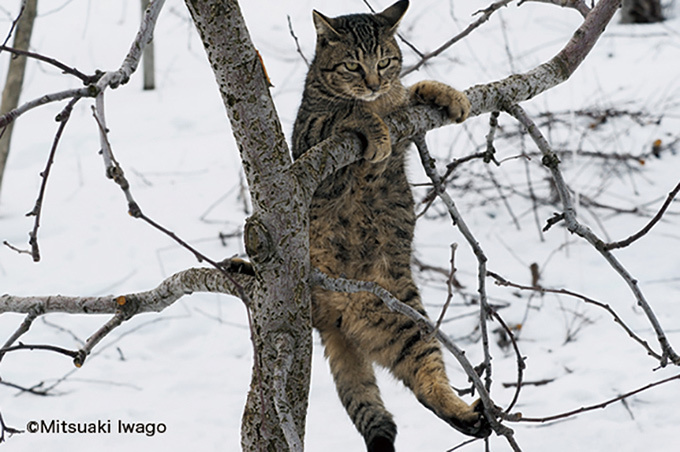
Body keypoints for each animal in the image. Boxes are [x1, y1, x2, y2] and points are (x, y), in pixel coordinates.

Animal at [290, 1, 488, 450]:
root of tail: (334, 319)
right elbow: (347, 111)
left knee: (427, 381)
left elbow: (411, 89)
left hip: (408, 324)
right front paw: (371, 125)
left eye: (384, 61)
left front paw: (446, 94)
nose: (373, 83)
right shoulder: (308, 139)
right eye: (351, 65)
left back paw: (467, 415)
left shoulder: (403, 115)